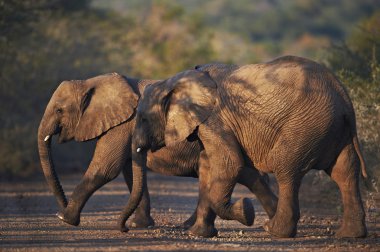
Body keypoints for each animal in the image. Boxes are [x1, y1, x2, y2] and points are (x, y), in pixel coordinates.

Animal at [37, 73, 278, 234]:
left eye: (59, 110)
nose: (124, 229)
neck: (92, 82)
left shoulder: (122, 125)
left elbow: (106, 168)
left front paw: (64, 218)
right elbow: (130, 173)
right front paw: (139, 225)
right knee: (248, 176)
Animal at [131, 55, 368, 238]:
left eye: (142, 118)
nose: (126, 228)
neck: (175, 81)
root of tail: (344, 97)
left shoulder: (215, 120)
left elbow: (229, 164)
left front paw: (247, 211)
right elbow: (208, 166)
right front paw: (200, 234)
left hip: (308, 126)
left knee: (286, 169)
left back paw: (274, 231)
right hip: (334, 128)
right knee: (345, 172)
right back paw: (350, 235)